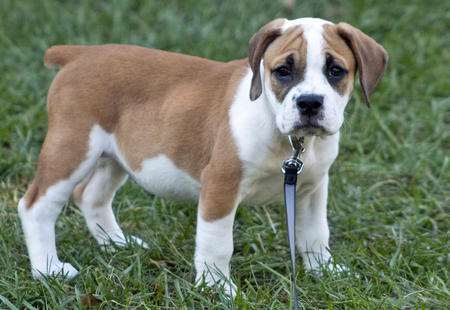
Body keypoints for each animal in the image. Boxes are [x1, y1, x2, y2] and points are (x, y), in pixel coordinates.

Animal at [18, 17, 386, 296]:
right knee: (37, 205)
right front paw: (217, 288)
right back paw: (49, 269)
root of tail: (81, 54)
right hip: (71, 148)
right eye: (283, 70)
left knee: (91, 195)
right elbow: (217, 242)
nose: (310, 102)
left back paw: (118, 244)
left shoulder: (311, 189)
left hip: (117, 155)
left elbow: (315, 234)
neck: (286, 137)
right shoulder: (220, 186)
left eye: (336, 71)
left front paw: (326, 272)